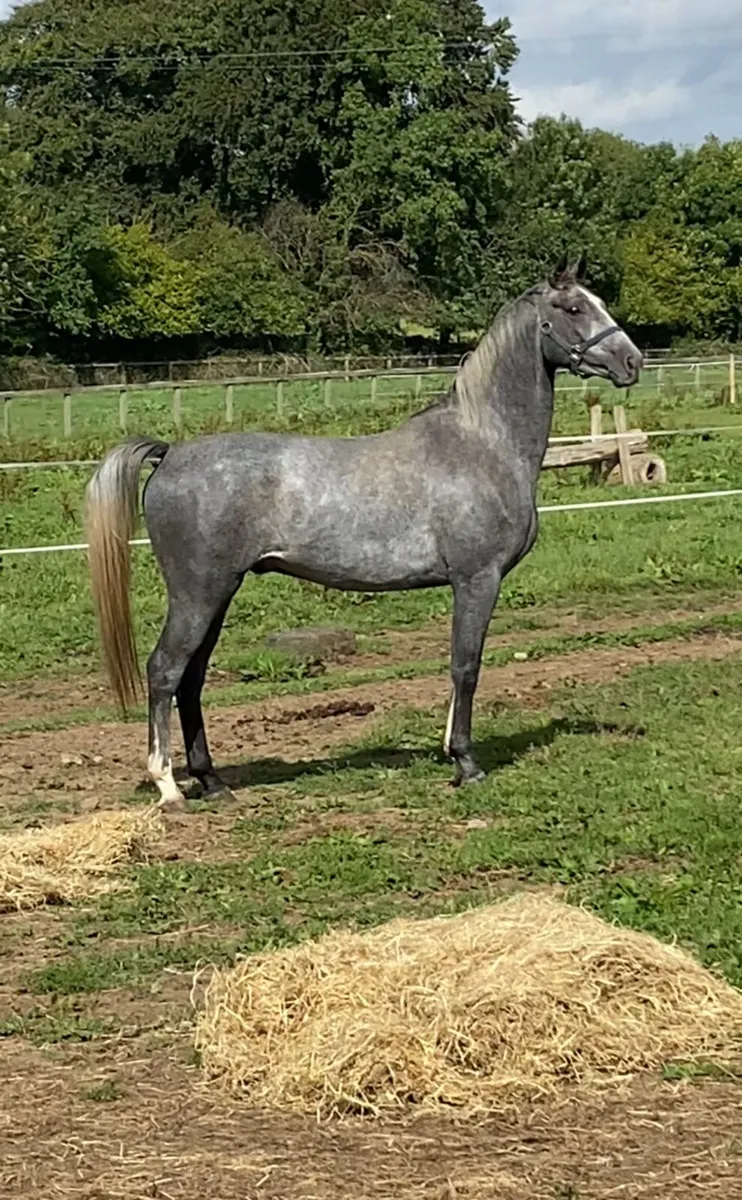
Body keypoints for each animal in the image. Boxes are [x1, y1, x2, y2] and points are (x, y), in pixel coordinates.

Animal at [85, 258, 641, 810]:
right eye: (573, 308)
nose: (631, 361)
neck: (483, 443)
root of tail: (169, 454)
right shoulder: (477, 580)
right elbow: (466, 665)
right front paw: (465, 762)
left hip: (218, 594)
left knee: (191, 679)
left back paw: (212, 781)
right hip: (198, 593)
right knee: (164, 670)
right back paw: (168, 786)